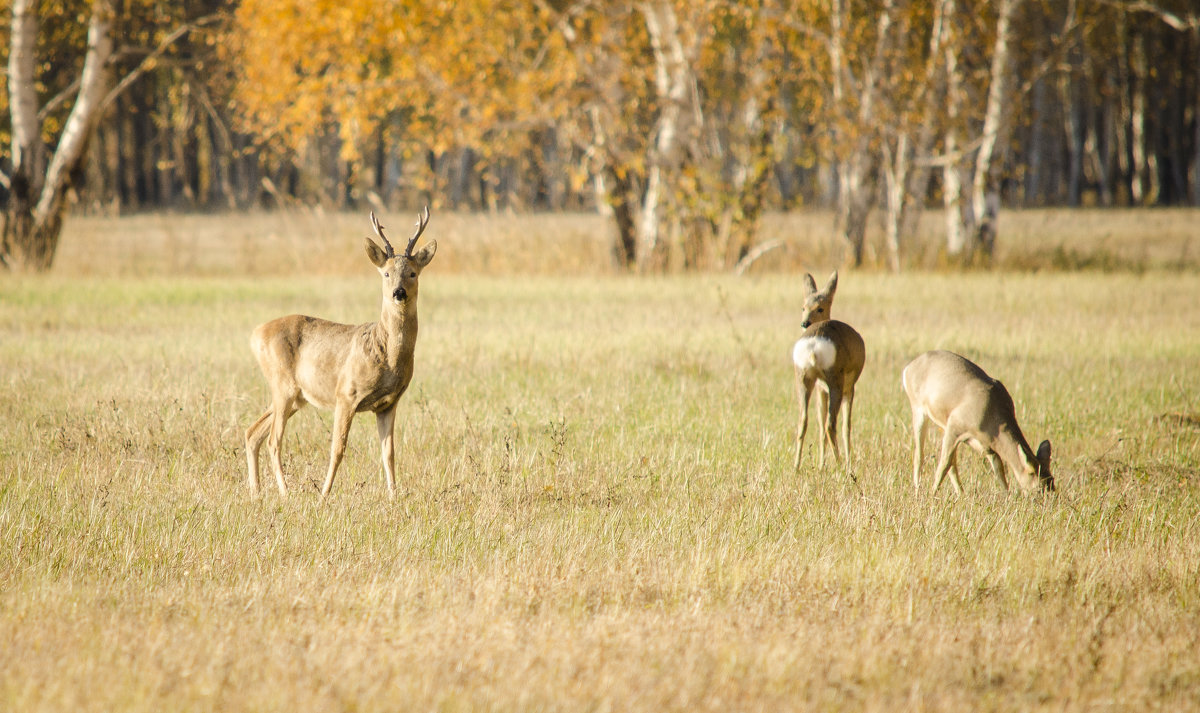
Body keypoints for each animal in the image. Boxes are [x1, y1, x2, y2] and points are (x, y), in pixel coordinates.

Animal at [243, 205, 436, 496]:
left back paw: (256, 492)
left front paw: (394, 496)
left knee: (253, 432)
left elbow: (389, 453)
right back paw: (285, 493)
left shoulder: (389, 403)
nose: (398, 292)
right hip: (282, 385)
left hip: (296, 396)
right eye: (386, 273)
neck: (386, 355)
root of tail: (256, 334)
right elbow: (338, 449)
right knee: (273, 441)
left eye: (413, 273)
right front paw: (324, 494)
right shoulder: (346, 394)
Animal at [787, 268, 864, 468]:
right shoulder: (850, 387)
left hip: (803, 378)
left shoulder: (821, 389)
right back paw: (840, 465)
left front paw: (821, 465)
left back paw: (796, 466)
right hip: (836, 380)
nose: (804, 322)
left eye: (819, 308)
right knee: (832, 425)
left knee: (803, 421)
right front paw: (848, 461)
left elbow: (819, 425)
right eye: (803, 308)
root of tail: (814, 344)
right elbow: (846, 426)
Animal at [902, 348, 1056, 494]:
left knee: (952, 462)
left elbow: (998, 466)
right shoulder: (955, 427)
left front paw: (1006, 494)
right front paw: (932, 493)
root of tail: (909, 368)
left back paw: (960, 493)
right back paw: (918, 490)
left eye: (1052, 479)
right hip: (918, 411)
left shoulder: (984, 443)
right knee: (920, 455)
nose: (1051, 498)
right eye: (1039, 486)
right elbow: (944, 464)